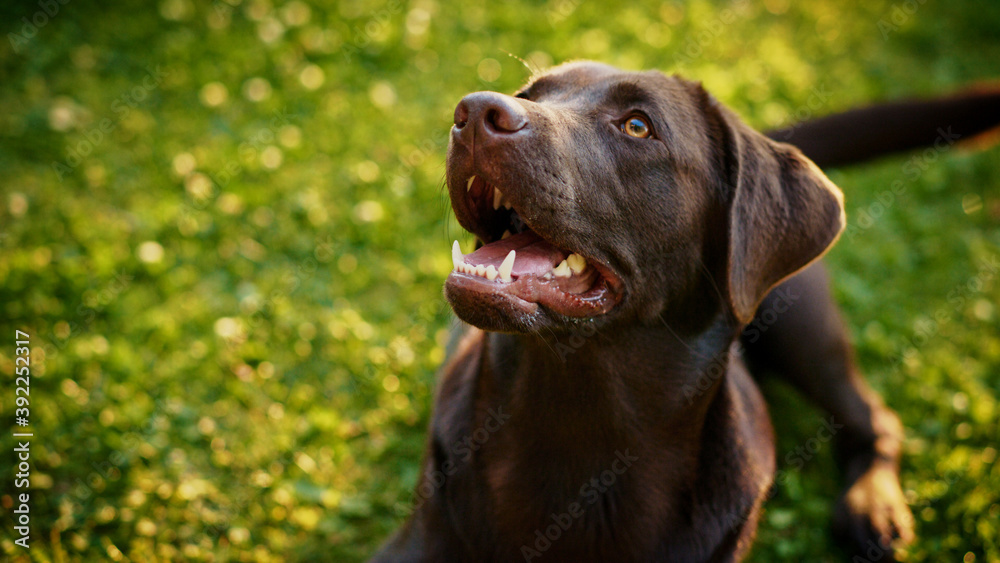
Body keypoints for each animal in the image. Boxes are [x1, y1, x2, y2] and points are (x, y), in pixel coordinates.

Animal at [372, 62, 1000, 563]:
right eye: (530, 92)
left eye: (637, 126)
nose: (475, 110)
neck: (579, 420)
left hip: (801, 325)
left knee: (873, 417)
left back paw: (873, 507)